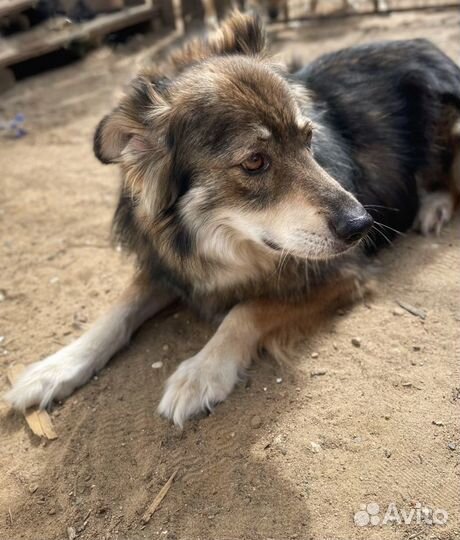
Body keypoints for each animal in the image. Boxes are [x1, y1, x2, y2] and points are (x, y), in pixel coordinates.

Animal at [4, 13, 460, 426]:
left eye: (308, 139)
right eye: (255, 161)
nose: (361, 225)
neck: (223, 241)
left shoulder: (341, 272)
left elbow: (248, 308)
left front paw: (202, 371)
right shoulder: (171, 265)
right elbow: (119, 307)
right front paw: (56, 367)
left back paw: (432, 207)